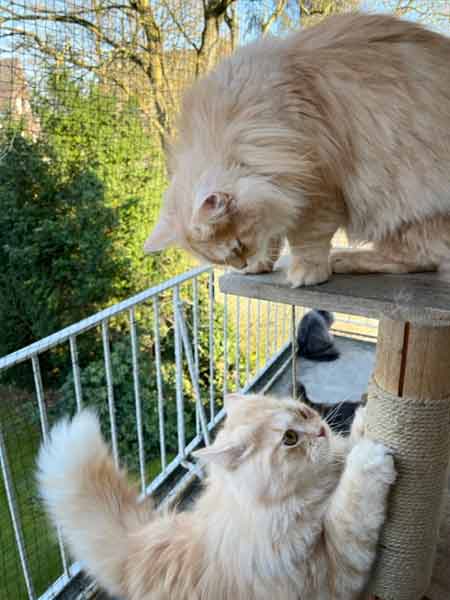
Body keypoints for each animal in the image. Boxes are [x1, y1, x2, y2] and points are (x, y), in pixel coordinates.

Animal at [39, 394, 398, 600]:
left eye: (305, 412)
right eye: (290, 439)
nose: (322, 430)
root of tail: (140, 542)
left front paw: (364, 423)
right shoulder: (335, 573)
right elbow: (350, 508)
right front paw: (369, 458)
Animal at [143, 12, 450, 286]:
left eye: (238, 245)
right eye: (220, 260)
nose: (240, 264)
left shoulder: (316, 187)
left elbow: (306, 238)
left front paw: (307, 273)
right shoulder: (283, 188)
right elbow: (272, 234)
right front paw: (260, 265)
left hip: (397, 207)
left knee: (423, 258)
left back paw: (345, 259)